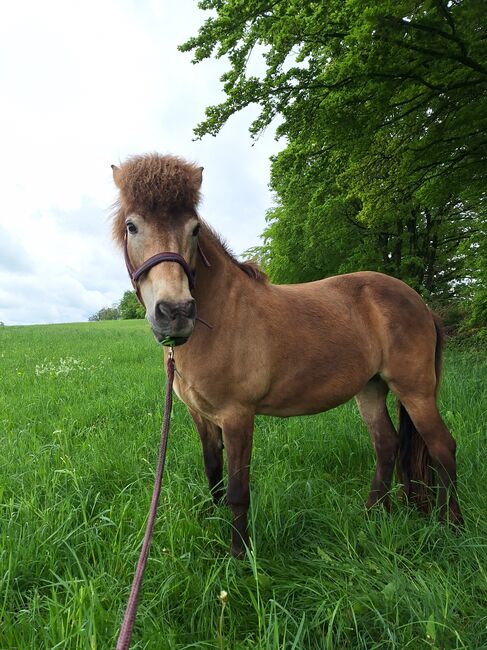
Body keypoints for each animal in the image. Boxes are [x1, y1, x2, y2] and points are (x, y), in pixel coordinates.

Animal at [111, 153, 466, 556]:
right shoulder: (201, 416)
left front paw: (239, 556)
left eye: (194, 229)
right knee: (387, 444)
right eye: (132, 226)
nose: (175, 312)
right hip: (372, 388)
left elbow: (237, 490)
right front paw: (215, 527)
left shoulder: (237, 416)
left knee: (442, 446)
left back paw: (452, 526)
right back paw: (373, 512)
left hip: (415, 390)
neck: (219, 316)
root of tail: (420, 303)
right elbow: (214, 475)